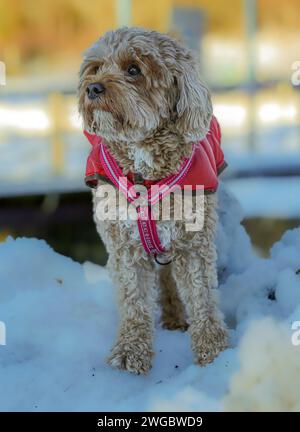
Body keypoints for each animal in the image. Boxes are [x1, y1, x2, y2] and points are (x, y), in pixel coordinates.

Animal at [78, 27, 229, 372]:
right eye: (95, 67)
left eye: (134, 69)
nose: (92, 88)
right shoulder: (124, 245)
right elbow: (134, 302)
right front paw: (130, 351)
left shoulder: (194, 242)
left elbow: (202, 298)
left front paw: (214, 352)